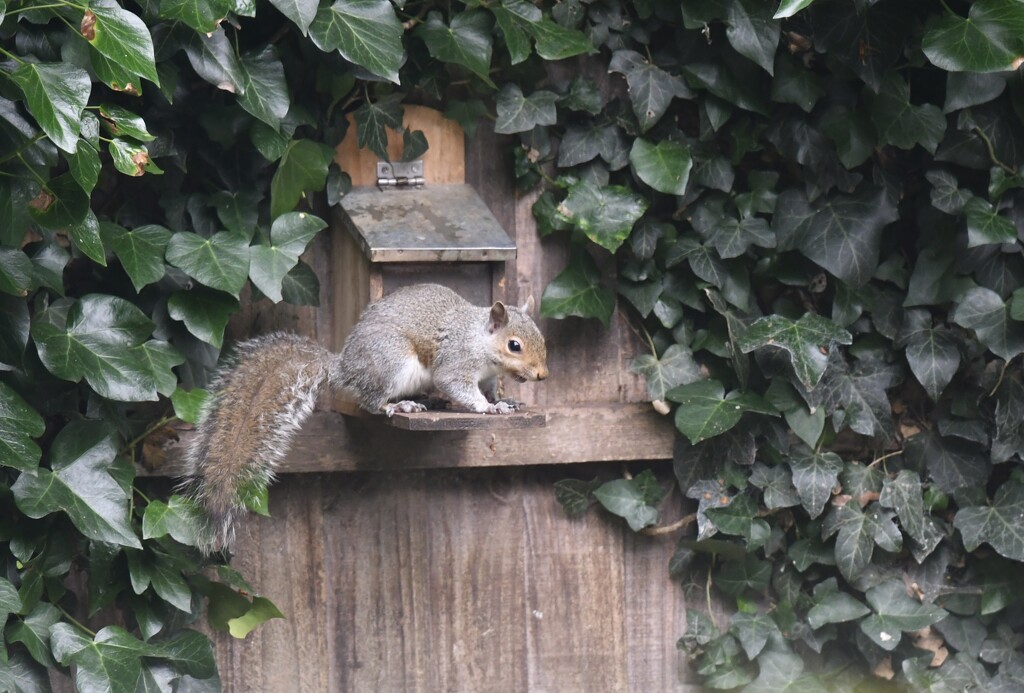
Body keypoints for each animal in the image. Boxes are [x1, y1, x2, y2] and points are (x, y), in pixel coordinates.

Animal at [184, 280, 552, 552]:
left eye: (542, 339)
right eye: (514, 345)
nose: (542, 376)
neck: (480, 340)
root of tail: (344, 367)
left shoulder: (488, 376)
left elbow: (490, 388)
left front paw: (504, 402)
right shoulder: (456, 363)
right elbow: (459, 386)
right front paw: (487, 408)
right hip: (391, 362)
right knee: (370, 400)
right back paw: (397, 406)